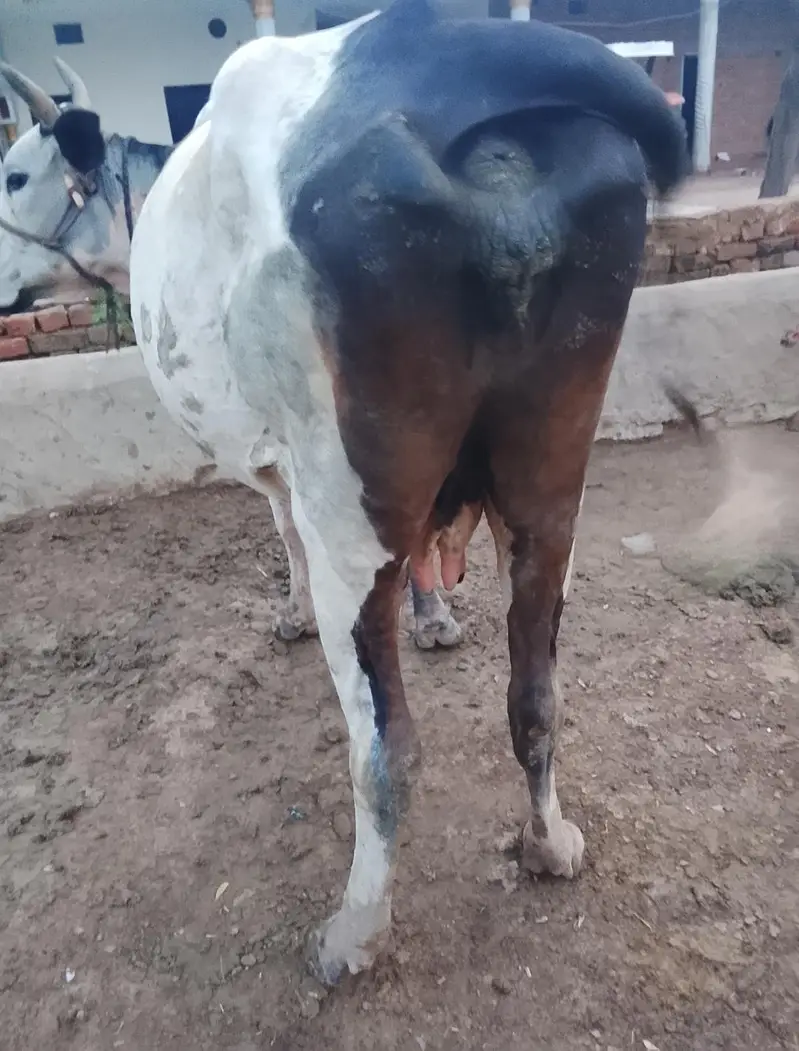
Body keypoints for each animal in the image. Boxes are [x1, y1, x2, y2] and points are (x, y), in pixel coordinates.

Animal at [48, 0, 692, 983]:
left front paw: (291, 613)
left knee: (385, 748)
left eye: (18, 171)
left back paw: (355, 930)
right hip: (550, 480)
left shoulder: (281, 466)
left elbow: (282, 534)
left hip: (350, 502)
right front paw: (434, 618)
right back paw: (548, 844)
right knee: (535, 696)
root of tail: (438, 57)